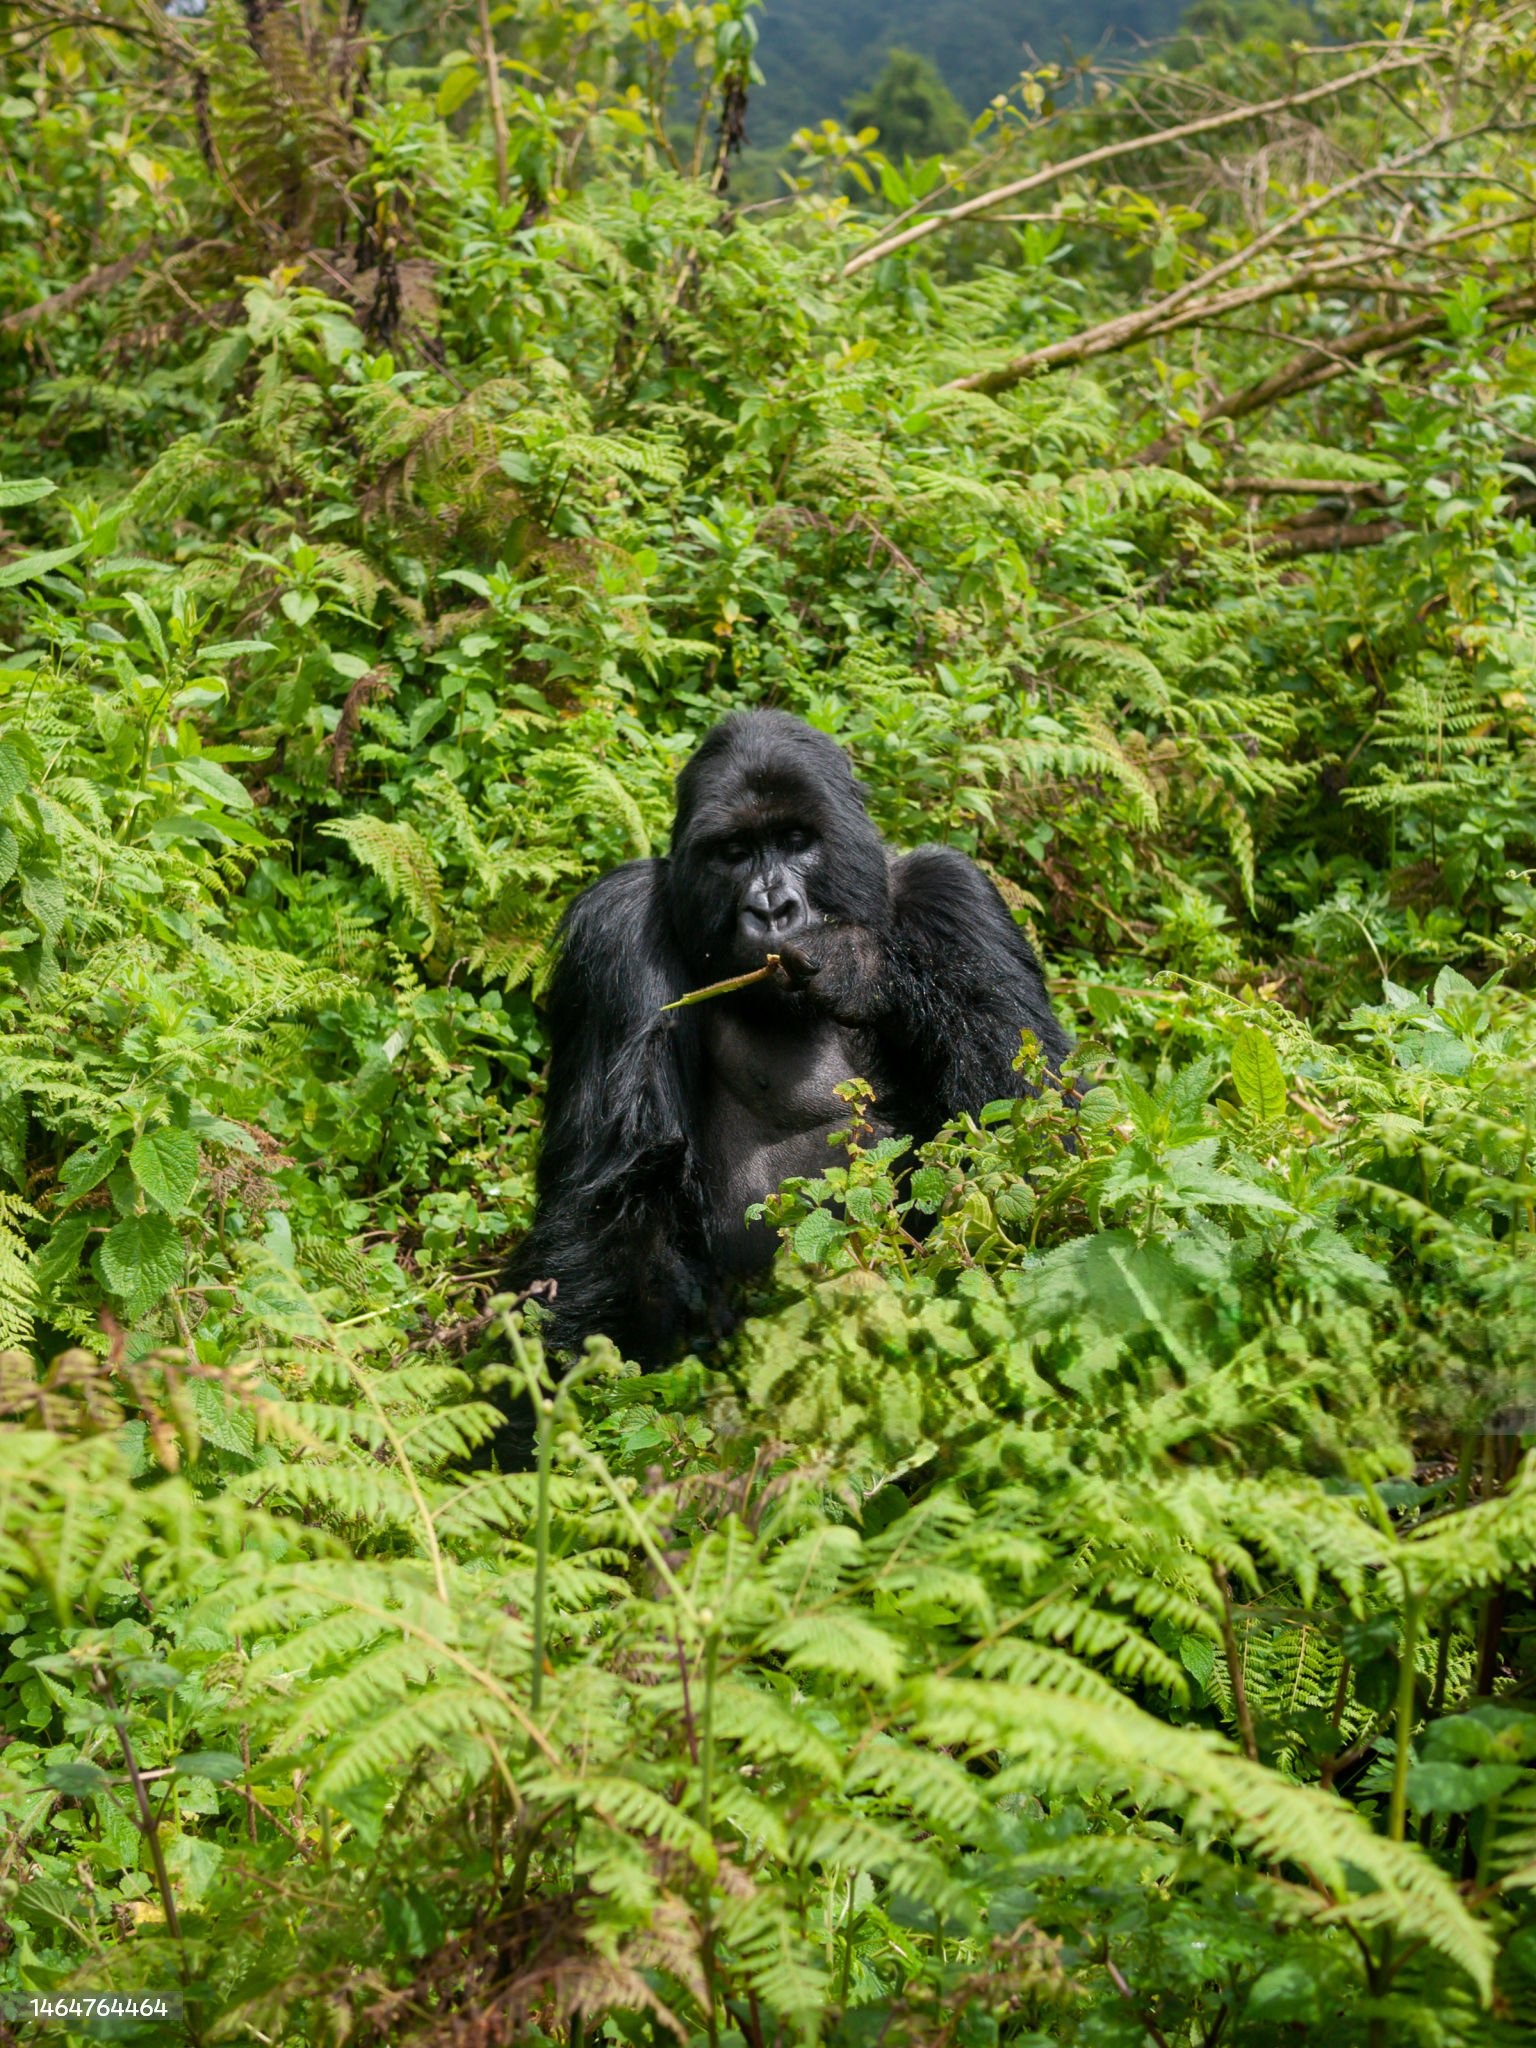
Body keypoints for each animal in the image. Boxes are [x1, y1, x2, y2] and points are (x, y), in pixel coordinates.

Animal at [507, 712, 1073, 1368]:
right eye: (734, 853)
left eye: (798, 840)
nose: (772, 907)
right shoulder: (615, 924)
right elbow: (611, 1192)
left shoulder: (955, 893)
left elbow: (1038, 1126)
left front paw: (864, 964)